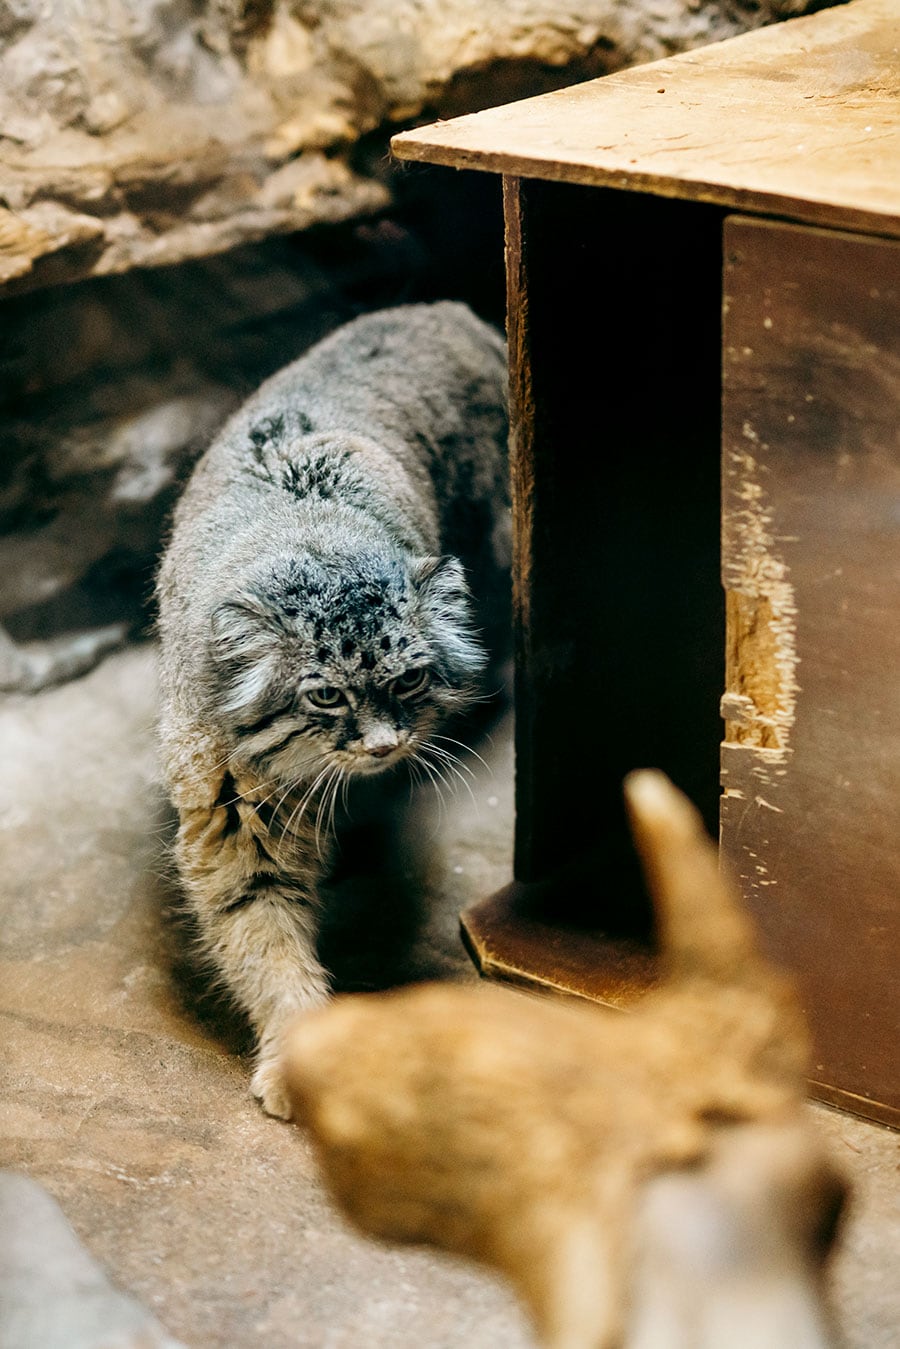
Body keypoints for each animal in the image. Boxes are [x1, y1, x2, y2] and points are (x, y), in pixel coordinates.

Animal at [158, 306, 510, 1116]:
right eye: (325, 695)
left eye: (410, 681)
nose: (384, 747)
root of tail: (448, 309)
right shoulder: (230, 815)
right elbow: (264, 939)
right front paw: (297, 1049)